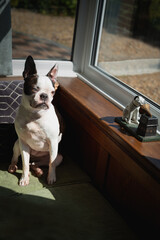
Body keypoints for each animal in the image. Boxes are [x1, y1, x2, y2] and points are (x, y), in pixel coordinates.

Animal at [8, 55, 62, 186]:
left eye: (52, 92)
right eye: (33, 89)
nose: (44, 96)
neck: (35, 115)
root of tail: (35, 158)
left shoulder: (53, 142)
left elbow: (51, 163)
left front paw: (51, 177)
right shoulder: (23, 143)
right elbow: (24, 164)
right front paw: (24, 178)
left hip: (59, 156)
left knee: (40, 163)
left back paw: (38, 170)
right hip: (17, 144)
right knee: (18, 159)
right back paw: (13, 167)